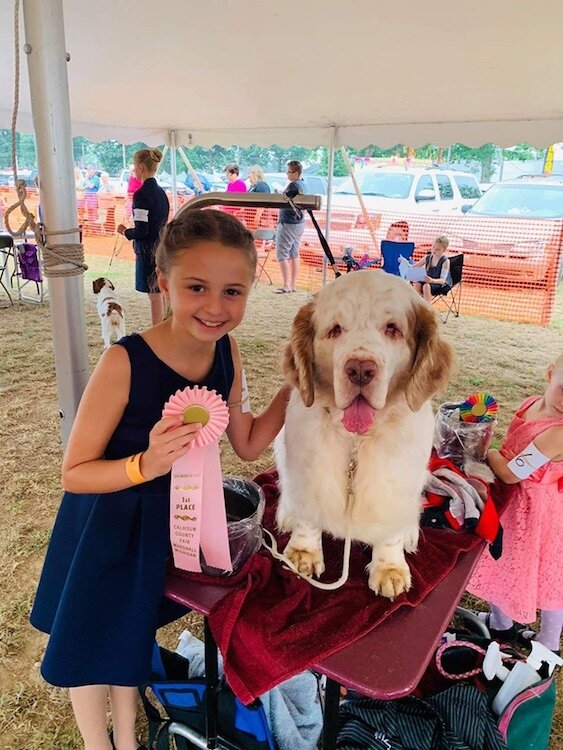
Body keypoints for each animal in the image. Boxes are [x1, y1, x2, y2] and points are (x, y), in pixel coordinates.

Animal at [276, 270, 456, 600]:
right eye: (335, 329)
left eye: (392, 329)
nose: (360, 369)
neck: (356, 441)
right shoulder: (306, 469)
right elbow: (308, 513)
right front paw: (304, 552)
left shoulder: (398, 481)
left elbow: (389, 530)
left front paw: (390, 569)